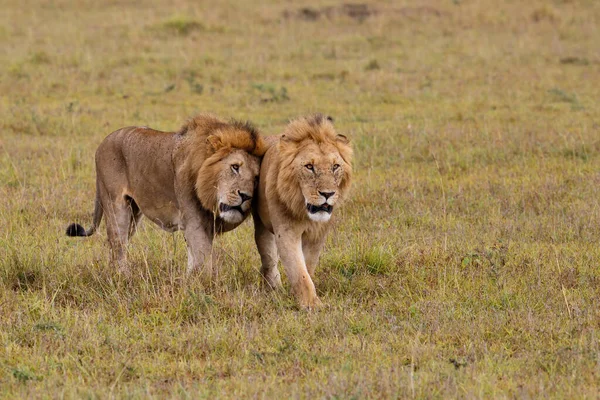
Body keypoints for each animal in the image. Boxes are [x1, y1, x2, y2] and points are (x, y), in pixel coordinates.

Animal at [65, 112, 264, 276]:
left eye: (256, 178)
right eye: (235, 167)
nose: (246, 196)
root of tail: (103, 142)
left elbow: (194, 260)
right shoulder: (195, 223)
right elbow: (203, 263)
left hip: (133, 213)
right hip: (115, 206)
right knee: (117, 244)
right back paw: (123, 278)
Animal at [252, 114, 352, 308]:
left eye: (335, 166)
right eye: (309, 167)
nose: (327, 194)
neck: (306, 213)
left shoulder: (317, 235)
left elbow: (308, 267)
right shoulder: (287, 232)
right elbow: (299, 272)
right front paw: (310, 304)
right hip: (262, 227)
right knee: (269, 259)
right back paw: (273, 287)